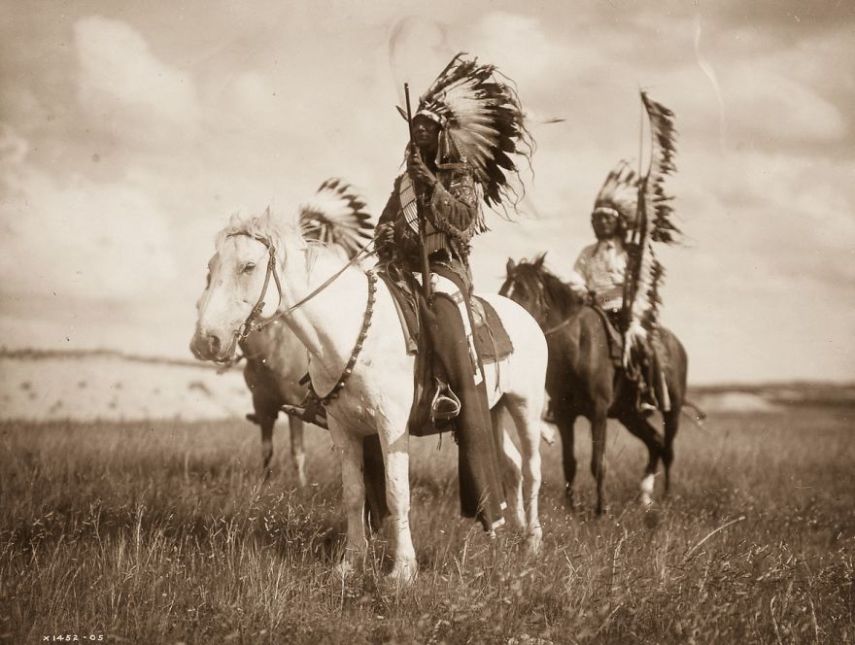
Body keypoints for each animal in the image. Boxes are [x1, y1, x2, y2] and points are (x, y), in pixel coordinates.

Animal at [192, 208, 548, 584]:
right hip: (494, 411)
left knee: (531, 469)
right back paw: (508, 531)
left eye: (248, 266)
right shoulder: (344, 428)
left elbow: (397, 493)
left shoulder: (391, 426)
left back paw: (532, 543)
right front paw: (351, 563)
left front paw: (403, 570)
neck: (350, 331)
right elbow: (353, 494)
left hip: (526, 406)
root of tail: (526, 316)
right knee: (511, 465)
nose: (206, 340)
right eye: (211, 267)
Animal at [502, 254, 696, 510]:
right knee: (655, 442)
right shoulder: (564, 415)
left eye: (524, 293)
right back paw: (645, 497)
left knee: (668, 449)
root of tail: (677, 345)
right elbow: (569, 462)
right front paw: (571, 508)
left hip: (671, 411)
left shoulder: (598, 412)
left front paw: (600, 509)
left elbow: (598, 463)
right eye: (503, 291)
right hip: (629, 415)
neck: (578, 348)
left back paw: (666, 496)